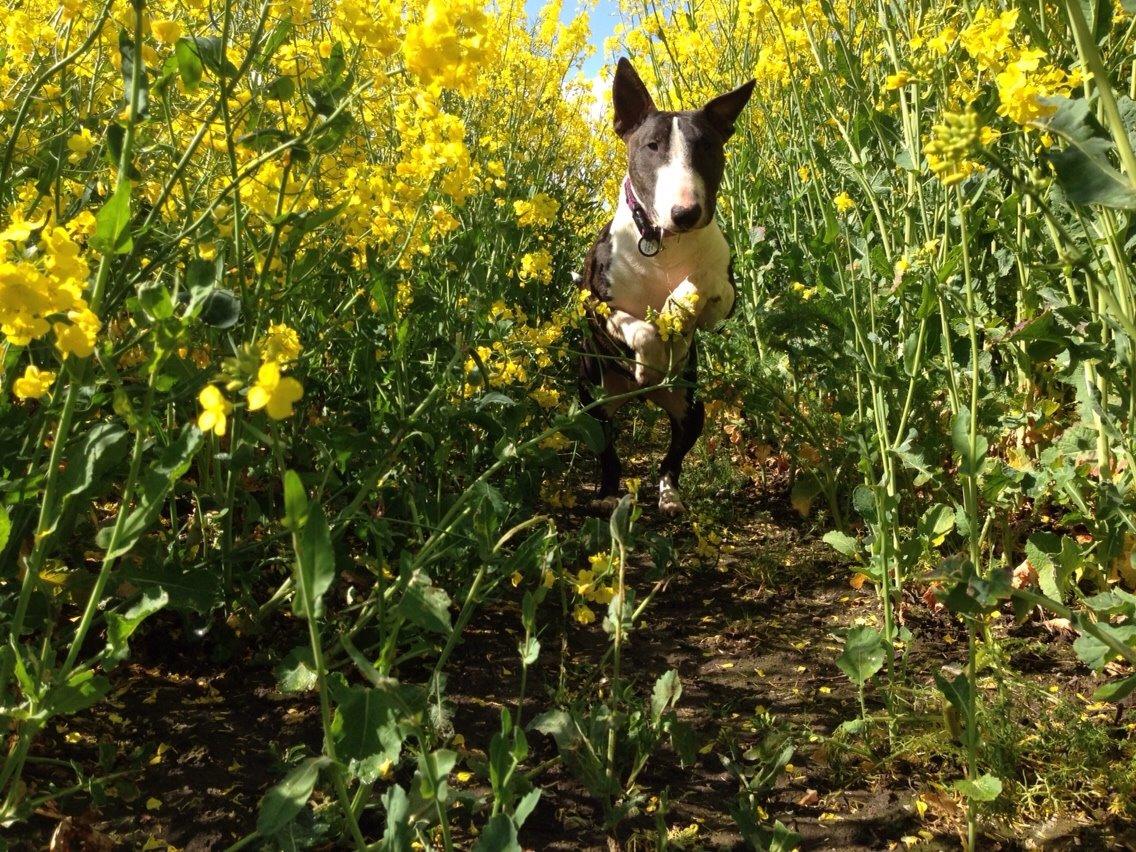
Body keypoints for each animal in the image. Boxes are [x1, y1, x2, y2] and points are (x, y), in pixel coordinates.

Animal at [577, 58, 754, 520]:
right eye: (652, 146)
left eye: (707, 147)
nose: (685, 213)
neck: (664, 244)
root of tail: (640, 400)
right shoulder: (595, 304)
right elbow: (637, 326)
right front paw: (653, 352)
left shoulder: (726, 299)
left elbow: (700, 282)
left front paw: (675, 313)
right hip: (590, 404)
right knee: (608, 454)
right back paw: (608, 494)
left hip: (692, 407)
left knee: (671, 458)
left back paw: (670, 496)